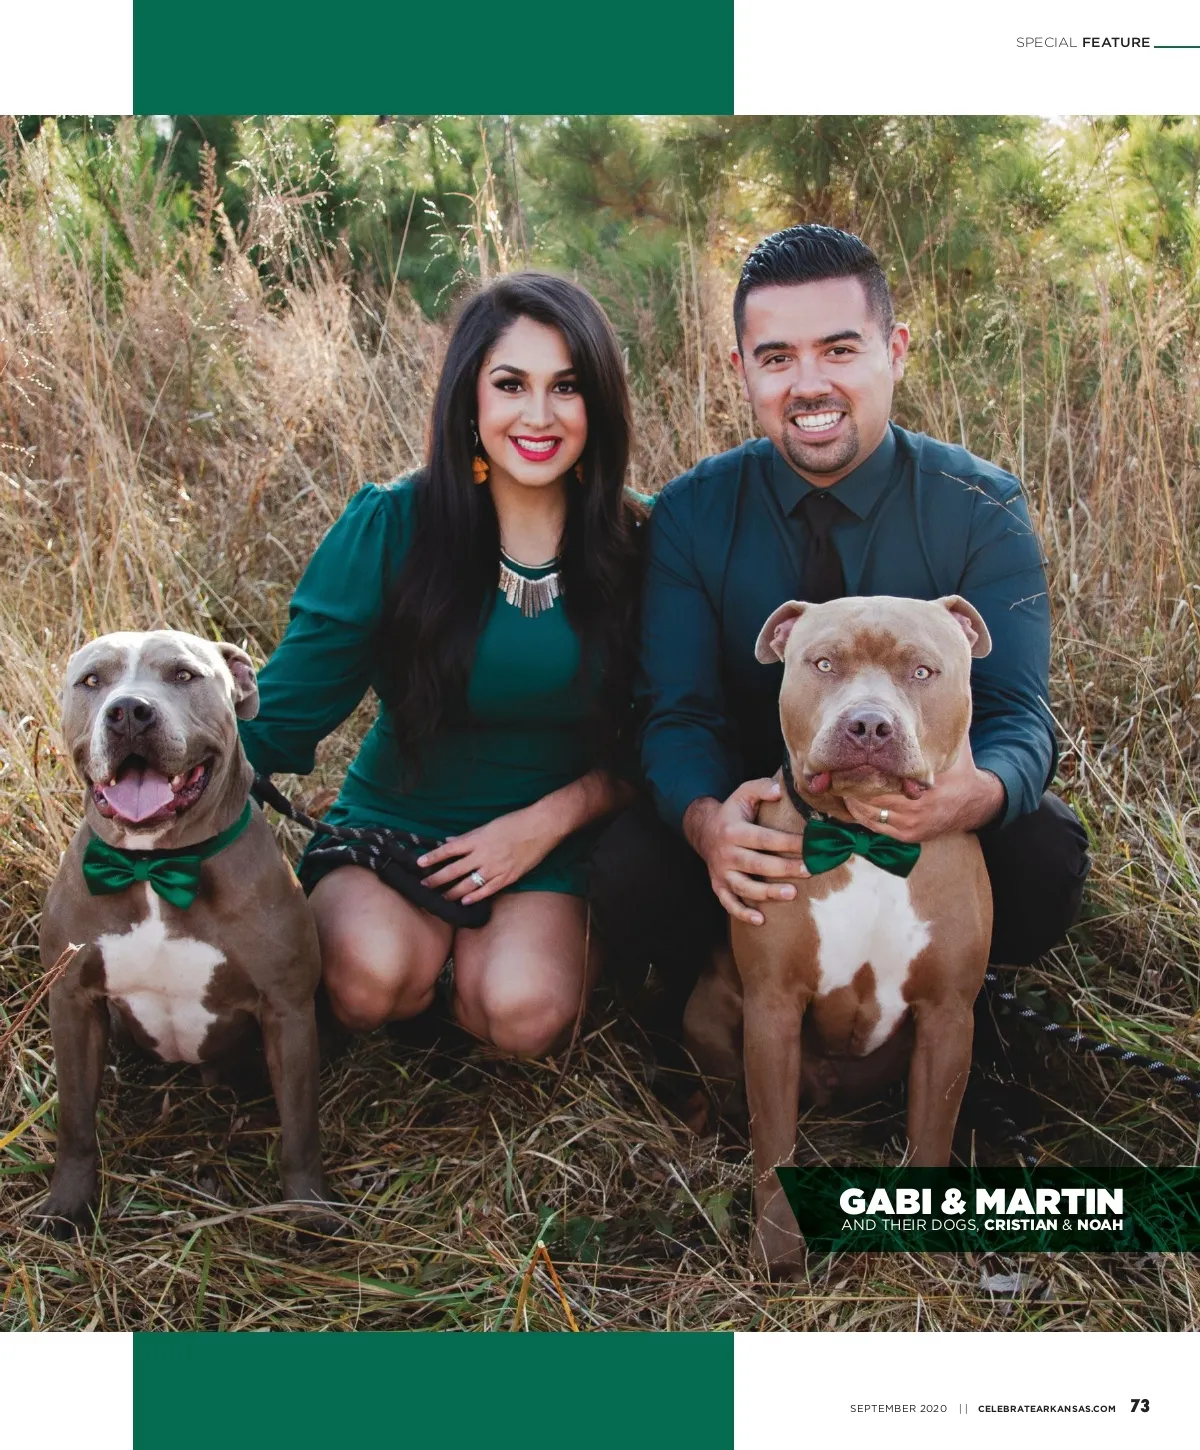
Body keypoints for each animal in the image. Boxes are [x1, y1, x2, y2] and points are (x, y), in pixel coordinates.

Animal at [38, 629, 331, 1235]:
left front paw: (309, 1209)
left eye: (183, 675)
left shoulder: (288, 1009)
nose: (129, 711)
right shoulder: (72, 1000)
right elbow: (75, 1119)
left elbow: (300, 1128)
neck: (156, 865)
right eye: (92, 681)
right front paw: (66, 1206)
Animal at [684, 594, 993, 1277]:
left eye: (922, 671)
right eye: (824, 663)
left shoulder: (948, 1015)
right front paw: (778, 1254)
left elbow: (934, 1134)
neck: (863, 837)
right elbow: (773, 1143)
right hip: (708, 1016)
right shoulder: (773, 1008)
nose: (869, 725)